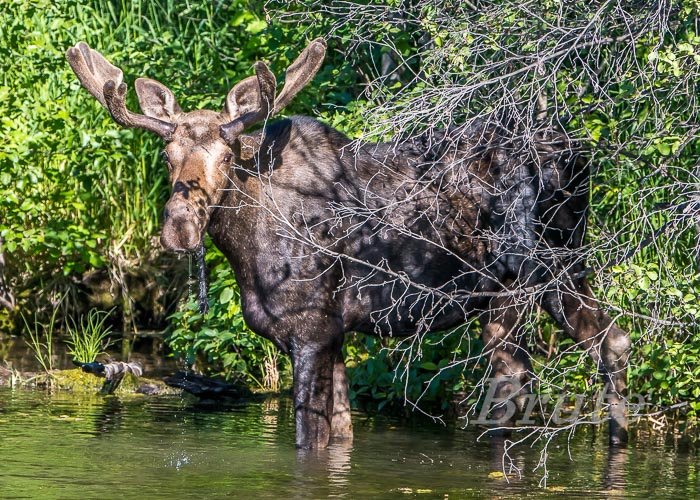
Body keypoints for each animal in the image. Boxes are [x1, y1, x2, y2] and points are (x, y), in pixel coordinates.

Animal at [67, 37, 636, 448]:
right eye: (165, 156)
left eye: (227, 157)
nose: (179, 228)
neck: (245, 249)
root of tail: (581, 155)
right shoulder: (336, 334)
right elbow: (339, 436)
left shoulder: (311, 329)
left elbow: (307, 438)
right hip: (555, 274)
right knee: (611, 340)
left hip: (521, 280)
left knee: (517, 382)